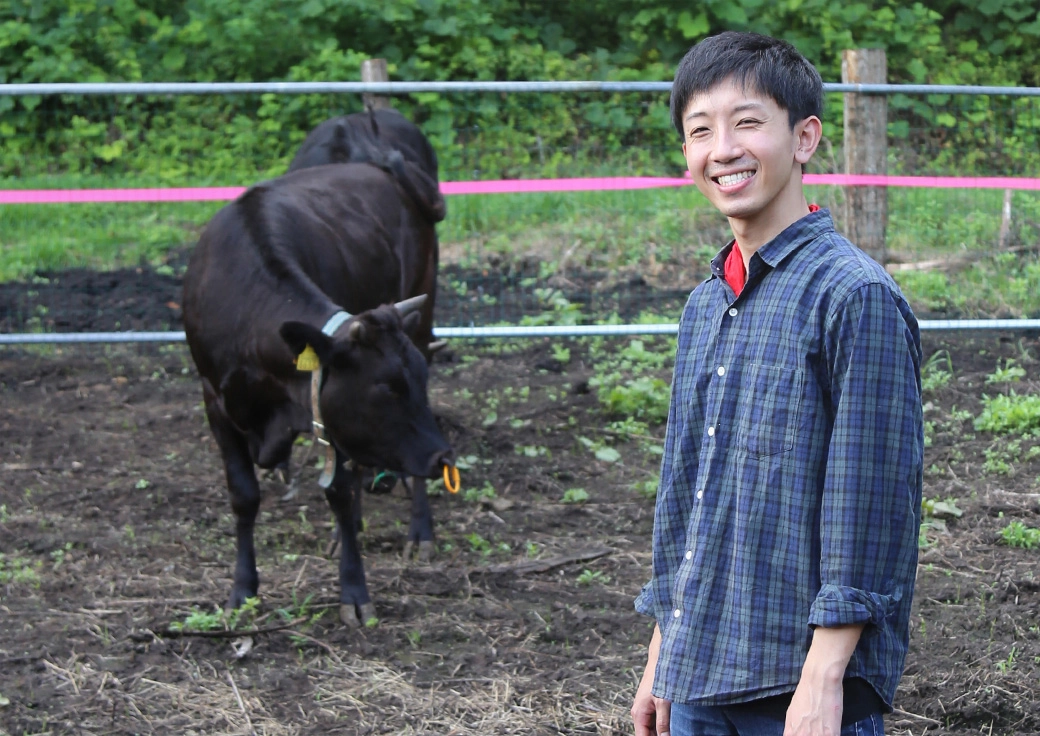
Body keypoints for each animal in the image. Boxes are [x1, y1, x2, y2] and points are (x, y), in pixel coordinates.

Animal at [182, 162, 455, 627]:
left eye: (415, 381)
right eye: (386, 388)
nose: (443, 459)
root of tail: (382, 169)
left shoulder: (327, 413)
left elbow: (339, 493)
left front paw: (354, 593)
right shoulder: (215, 401)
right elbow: (243, 496)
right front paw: (242, 589)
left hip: (423, 309)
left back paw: (419, 531)